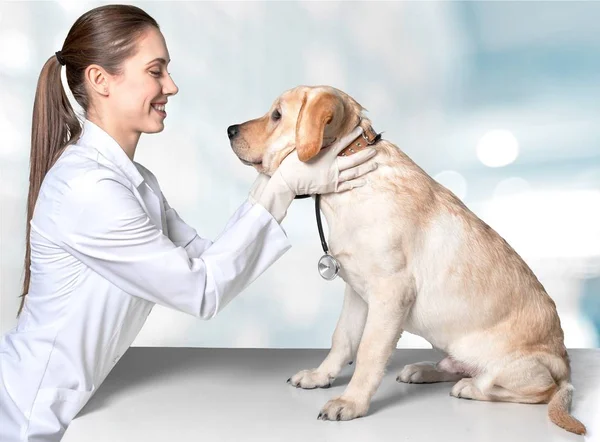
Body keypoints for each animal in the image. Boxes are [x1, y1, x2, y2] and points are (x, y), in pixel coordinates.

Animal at [226, 84, 584, 434]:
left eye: (277, 115)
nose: (230, 130)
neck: (350, 186)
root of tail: (566, 366)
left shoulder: (391, 293)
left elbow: (369, 351)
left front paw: (351, 402)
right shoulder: (357, 291)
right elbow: (342, 338)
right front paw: (320, 376)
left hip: (515, 368)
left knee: (534, 389)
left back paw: (472, 387)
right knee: (457, 367)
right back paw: (425, 370)